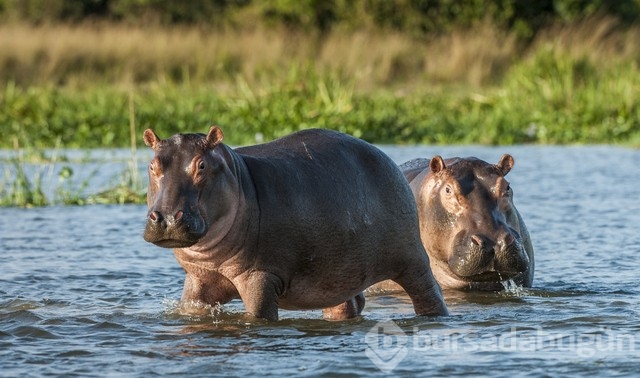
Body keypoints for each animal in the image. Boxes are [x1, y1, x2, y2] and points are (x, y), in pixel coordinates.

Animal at [142, 126, 448, 318]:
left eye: (202, 165)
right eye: (152, 165)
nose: (166, 217)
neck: (238, 177)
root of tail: (387, 159)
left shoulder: (261, 277)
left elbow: (259, 316)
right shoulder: (198, 279)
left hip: (412, 260)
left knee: (428, 293)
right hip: (337, 274)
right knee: (347, 304)